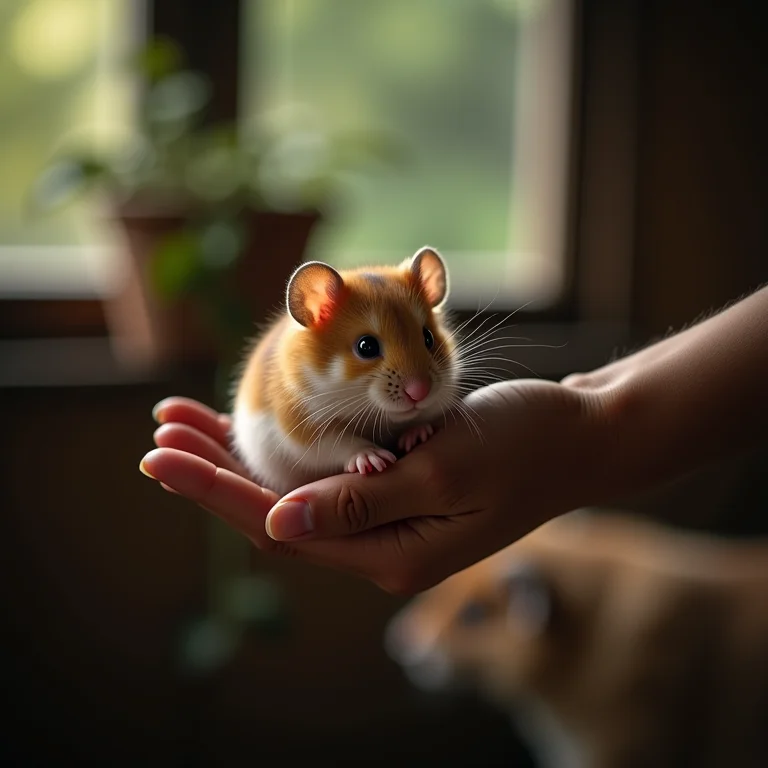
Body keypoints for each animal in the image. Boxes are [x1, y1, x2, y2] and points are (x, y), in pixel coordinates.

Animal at [230, 246, 461, 496]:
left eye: (428, 337)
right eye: (366, 346)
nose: (420, 392)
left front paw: (418, 434)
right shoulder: (302, 429)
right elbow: (340, 443)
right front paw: (373, 459)